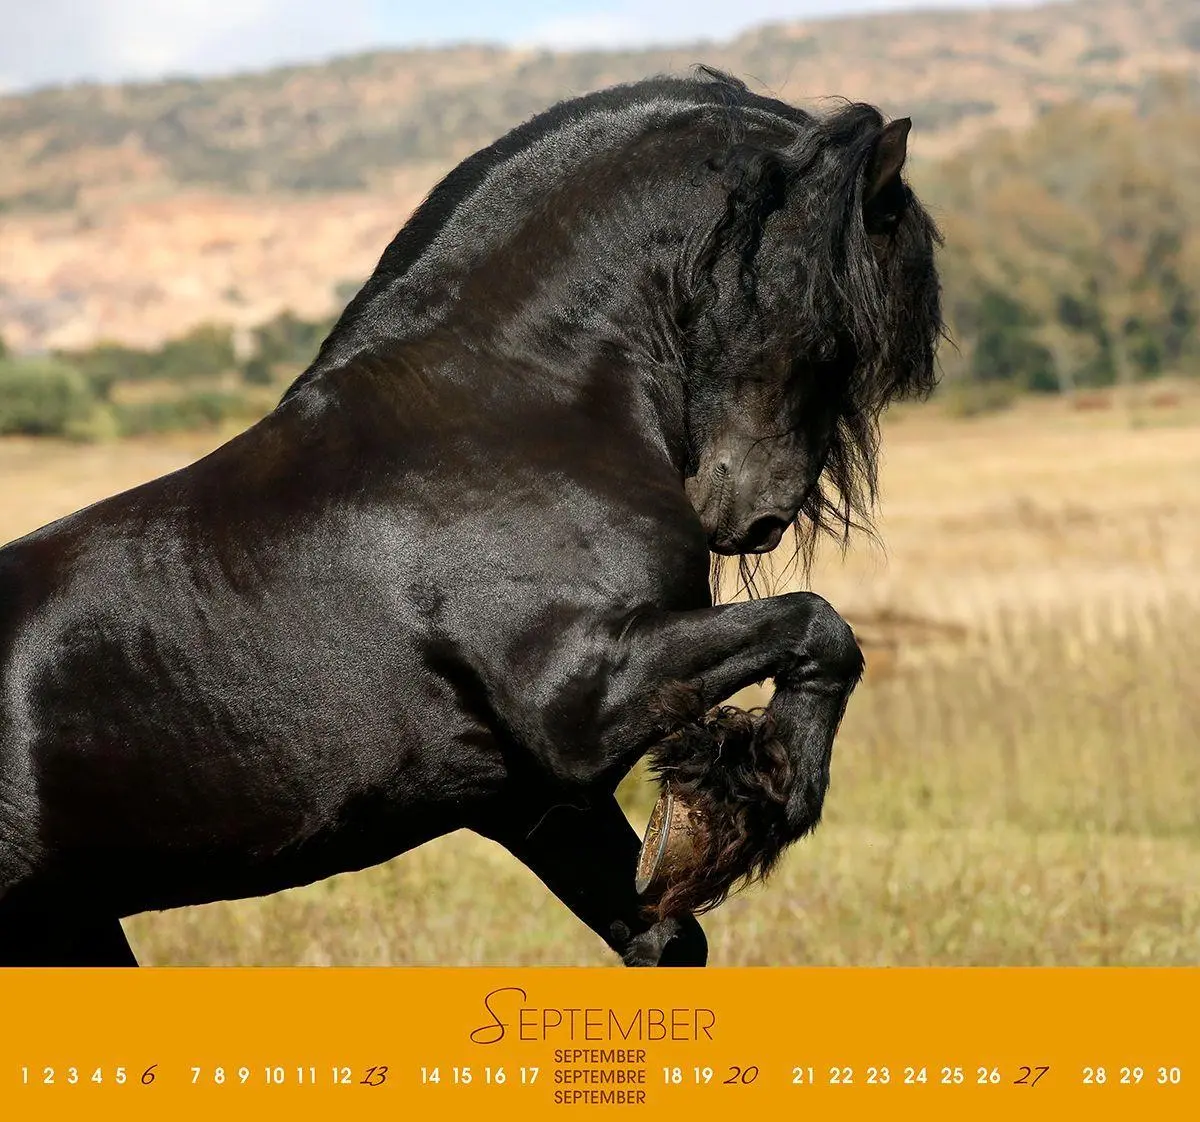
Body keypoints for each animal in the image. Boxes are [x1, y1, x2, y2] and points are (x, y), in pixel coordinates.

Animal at [0, 68, 941, 966]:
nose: (755, 516)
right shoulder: (578, 701)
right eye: (835, 326)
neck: (506, 409)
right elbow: (822, 628)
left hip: (68, 927)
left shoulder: (531, 797)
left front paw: (702, 824)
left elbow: (664, 936)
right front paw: (737, 804)